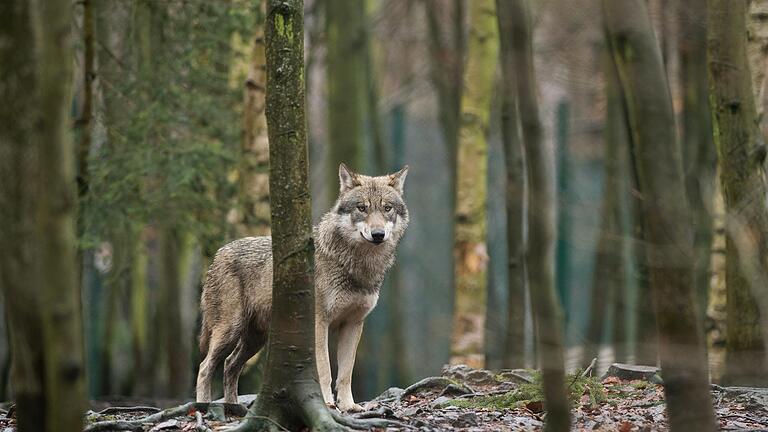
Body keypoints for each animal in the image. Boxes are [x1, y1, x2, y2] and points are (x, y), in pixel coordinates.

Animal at [196, 163, 408, 412]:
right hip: (230, 331)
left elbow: (346, 373)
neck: (356, 265)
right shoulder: (319, 323)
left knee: (230, 365)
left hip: (255, 339)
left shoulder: (353, 324)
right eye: (362, 208)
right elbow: (325, 370)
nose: (378, 234)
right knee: (205, 367)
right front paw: (327, 404)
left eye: (387, 208)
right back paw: (203, 406)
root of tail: (218, 253)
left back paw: (233, 408)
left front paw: (349, 406)